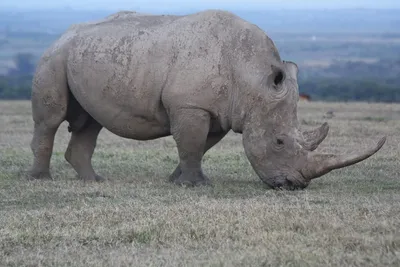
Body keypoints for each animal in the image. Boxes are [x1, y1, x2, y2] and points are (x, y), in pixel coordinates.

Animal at [26, 9, 386, 191]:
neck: (252, 77)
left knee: (90, 122)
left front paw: (179, 181)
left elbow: (199, 146)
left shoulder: (220, 112)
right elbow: (191, 143)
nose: (294, 185)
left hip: (87, 55)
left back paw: (93, 181)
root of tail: (65, 32)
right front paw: (194, 186)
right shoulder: (190, 105)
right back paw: (41, 180)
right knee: (52, 119)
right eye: (280, 142)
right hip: (54, 56)